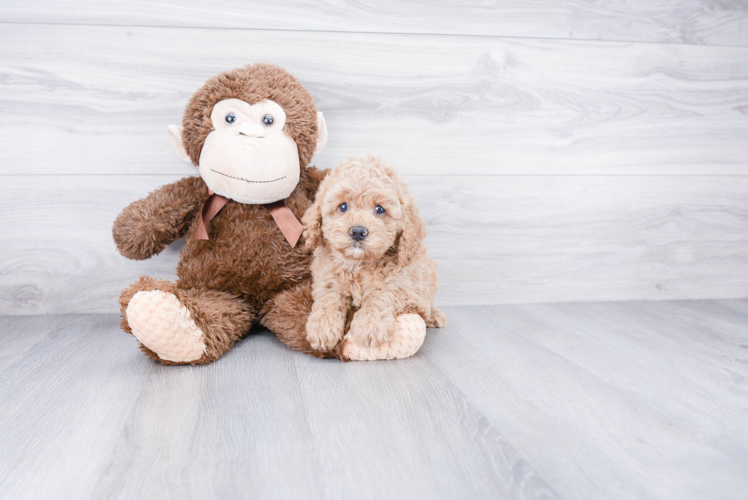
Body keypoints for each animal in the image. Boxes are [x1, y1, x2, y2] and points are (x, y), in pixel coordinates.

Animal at [302, 158, 448, 358]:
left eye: (380, 209)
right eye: (343, 206)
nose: (358, 231)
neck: (358, 264)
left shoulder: (407, 284)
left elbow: (384, 293)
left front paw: (369, 324)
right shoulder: (327, 279)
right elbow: (328, 298)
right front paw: (322, 327)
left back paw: (434, 315)